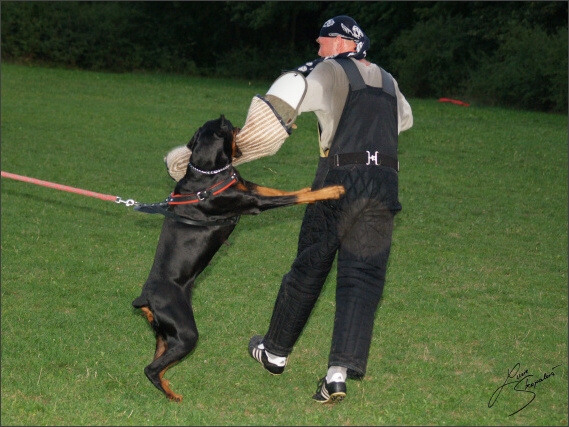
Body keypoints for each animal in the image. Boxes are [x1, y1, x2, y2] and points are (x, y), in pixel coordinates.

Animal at [132, 114, 346, 402]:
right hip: (186, 333)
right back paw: (173, 396)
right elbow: (292, 197)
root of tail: (145, 298)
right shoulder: (253, 203)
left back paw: (168, 389)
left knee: (156, 365)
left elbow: (277, 190)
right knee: (150, 369)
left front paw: (312, 186)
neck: (207, 174)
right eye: (234, 129)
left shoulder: (250, 188)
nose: (240, 129)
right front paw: (331, 190)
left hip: (166, 336)